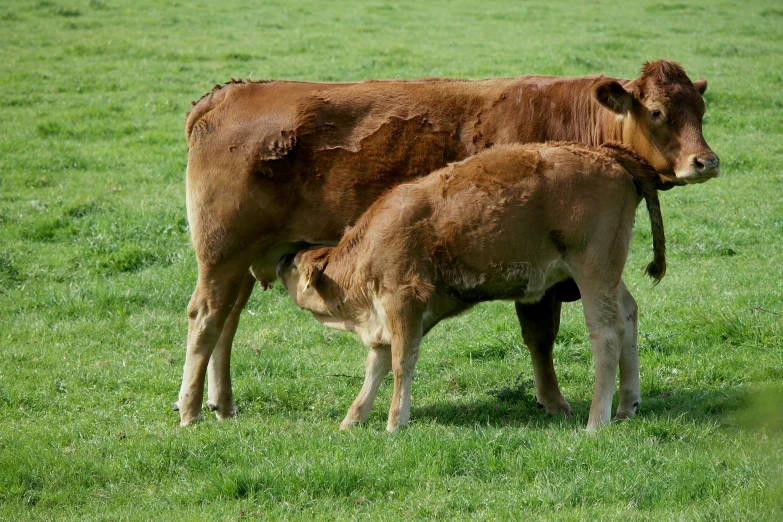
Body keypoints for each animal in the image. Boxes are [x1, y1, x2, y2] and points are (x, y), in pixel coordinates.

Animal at [276, 142, 668, 430]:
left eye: (295, 266)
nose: (281, 260)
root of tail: (605, 155)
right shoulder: (389, 318)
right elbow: (377, 364)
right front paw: (352, 420)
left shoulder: (402, 302)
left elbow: (401, 362)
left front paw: (394, 423)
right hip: (609, 274)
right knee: (629, 313)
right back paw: (627, 406)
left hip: (592, 269)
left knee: (606, 332)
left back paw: (596, 422)